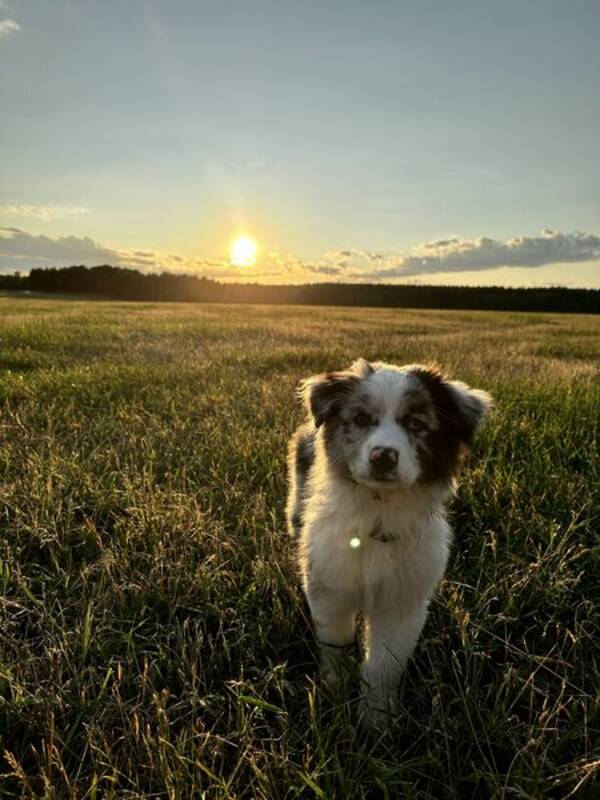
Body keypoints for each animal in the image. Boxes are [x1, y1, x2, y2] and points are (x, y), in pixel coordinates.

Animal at [288, 360, 492, 724]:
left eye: (416, 424)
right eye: (359, 419)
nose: (383, 456)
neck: (378, 510)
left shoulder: (403, 601)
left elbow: (385, 665)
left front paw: (376, 721)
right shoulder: (329, 583)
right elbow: (336, 641)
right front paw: (335, 691)